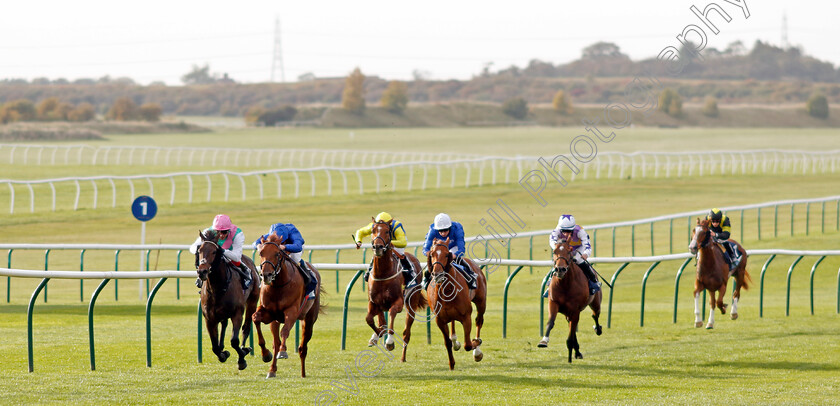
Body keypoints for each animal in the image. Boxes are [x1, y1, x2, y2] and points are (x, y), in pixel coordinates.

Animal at [194, 230, 258, 370]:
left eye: (214, 251)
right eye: (199, 250)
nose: (202, 271)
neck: (217, 288)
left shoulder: (237, 313)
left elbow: (234, 341)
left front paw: (242, 358)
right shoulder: (209, 318)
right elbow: (214, 346)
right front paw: (223, 354)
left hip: (252, 301)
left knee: (246, 327)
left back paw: (245, 348)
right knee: (224, 324)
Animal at [251, 233, 324, 380]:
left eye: (277, 253)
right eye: (261, 252)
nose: (266, 275)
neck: (278, 285)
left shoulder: (292, 311)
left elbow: (285, 331)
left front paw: (283, 352)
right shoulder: (269, 313)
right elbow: (255, 318)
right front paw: (265, 354)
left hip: (309, 319)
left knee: (302, 347)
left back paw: (303, 373)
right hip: (275, 320)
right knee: (276, 342)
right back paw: (272, 370)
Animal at [364, 219, 426, 362]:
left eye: (387, 231)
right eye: (373, 230)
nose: (378, 247)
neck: (382, 273)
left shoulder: (398, 302)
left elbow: (391, 315)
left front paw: (390, 342)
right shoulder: (373, 302)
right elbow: (370, 319)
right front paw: (377, 335)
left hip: (411, 303)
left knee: (406, 333)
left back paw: (403, 357)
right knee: (381, 320)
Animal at [426, 238, 486, 372]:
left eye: (446, 254)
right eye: (432, 254)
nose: (437, 273)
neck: (447, 290)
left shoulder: (466, 316)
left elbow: (468, 344)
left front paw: (476, 342)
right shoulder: (440, 320)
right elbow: (447, 342)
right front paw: (451, 364)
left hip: (481, 302)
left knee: (479, 321)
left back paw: (477, 352)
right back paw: (455, 342)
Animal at [540, 236, 600, 364]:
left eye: (569, 251)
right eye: (554, 251)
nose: (560, 269)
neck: (565, 284)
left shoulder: (575, 310)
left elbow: (571, 335)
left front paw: (569, 358)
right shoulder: (553, 302)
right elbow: (550, 322)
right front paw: (543, 341)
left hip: (595, 302)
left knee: (595, 315)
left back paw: (598, 329)